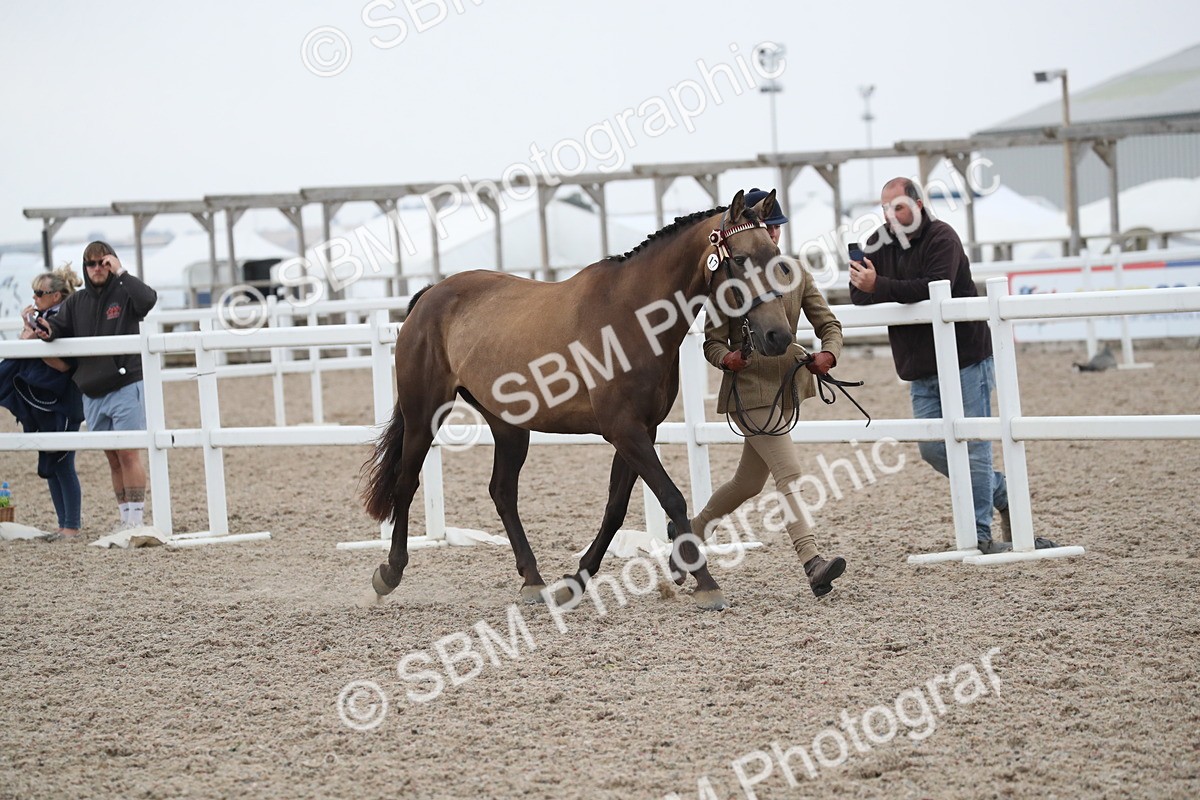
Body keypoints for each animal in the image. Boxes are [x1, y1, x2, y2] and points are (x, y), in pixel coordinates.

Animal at [362, 189, 792, 610]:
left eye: (777, 259)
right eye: (740, 259)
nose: (779, 337)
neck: (632, 316)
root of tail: (428, 296)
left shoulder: (641, 431)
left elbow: (616, 508)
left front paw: (575, 582)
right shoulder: (625, 431)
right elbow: (671, 497)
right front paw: (704, 581)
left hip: (509, 426)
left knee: (502, 492)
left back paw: (533, 581)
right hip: (424, 415)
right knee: (407, 482)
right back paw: (390, 572)